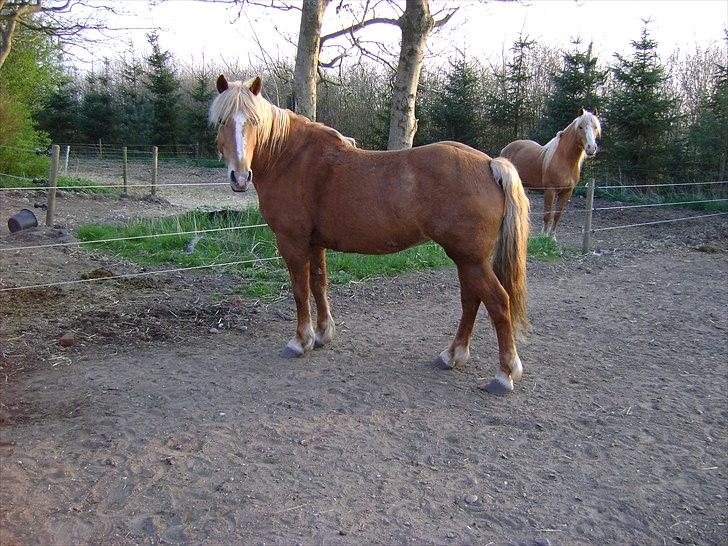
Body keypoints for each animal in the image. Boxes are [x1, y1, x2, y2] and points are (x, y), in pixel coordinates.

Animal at [208, 75, 532, 392]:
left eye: (254, 121)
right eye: (223, 121)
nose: (240, 177)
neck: (291, 158)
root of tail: (489, 164)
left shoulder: (292, 241)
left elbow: (300, 289)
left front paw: (301, 341)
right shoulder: (315, 242)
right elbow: (318, 284)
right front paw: (323, 334)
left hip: (470, 259)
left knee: (498, 302)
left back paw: (504, 374)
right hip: (468, 259)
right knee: (471, 300)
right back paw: (452, 355)